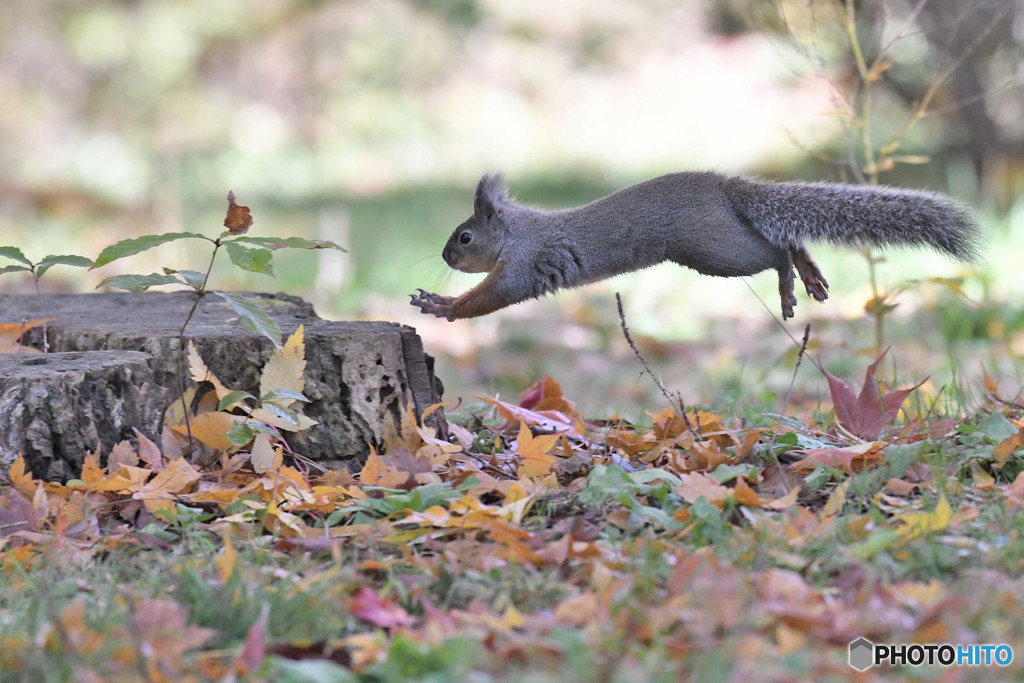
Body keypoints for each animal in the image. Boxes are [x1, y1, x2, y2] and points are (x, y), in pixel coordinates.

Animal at [409, 171, 983, 321]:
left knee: (775, 250)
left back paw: (790, 284)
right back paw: (810, 274)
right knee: (787, 238)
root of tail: (727, 187)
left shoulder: (525, 265)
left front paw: (442, 306)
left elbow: (492, 297)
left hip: (715, 252)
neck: (518, 231)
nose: (445, 257)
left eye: (465, 237)